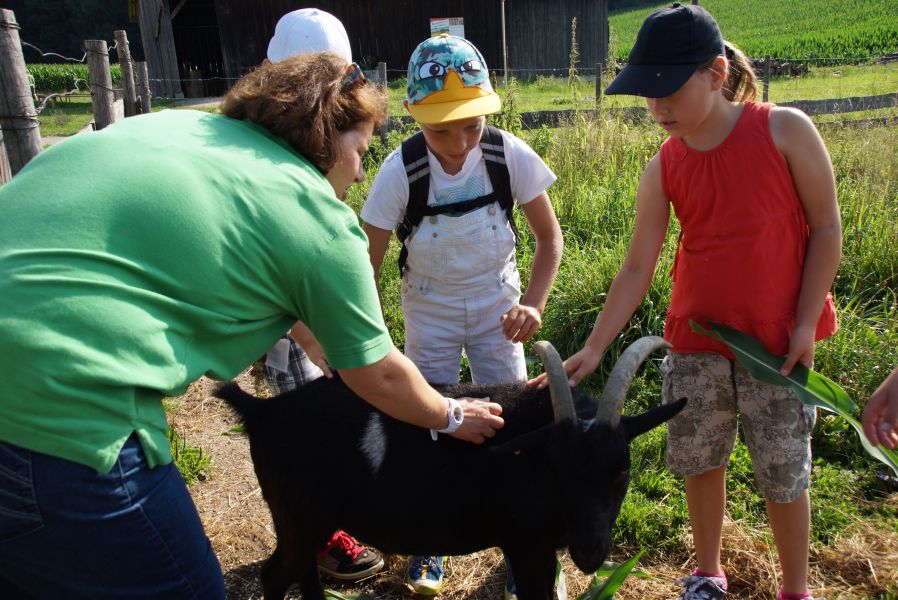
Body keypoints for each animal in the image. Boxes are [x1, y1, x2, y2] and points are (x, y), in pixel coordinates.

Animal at [216, 337, 686, 600]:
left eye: (621, 471)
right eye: (558, 471)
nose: (589, 551)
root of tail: (262, 411)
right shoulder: (526, 545)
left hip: (310, 521)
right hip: (297, 518)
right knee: (274, 575)